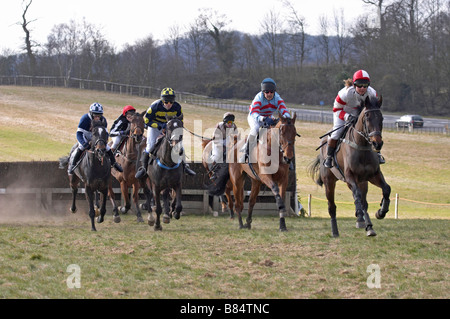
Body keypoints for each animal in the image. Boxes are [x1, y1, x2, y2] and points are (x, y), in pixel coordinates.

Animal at [310, 95, 390, 238]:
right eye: (367, 117)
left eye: (381, 118)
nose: (377, 143)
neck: (362, 146)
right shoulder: (349, 176)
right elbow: (357, 196)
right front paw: (360, 215)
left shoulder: (373, 175)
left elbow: (386, 189)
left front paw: (381, 211)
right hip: (329, 182)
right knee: (332, 207)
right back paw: (335, 231)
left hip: (362, 182)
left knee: (364, 202)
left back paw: (368, 226)